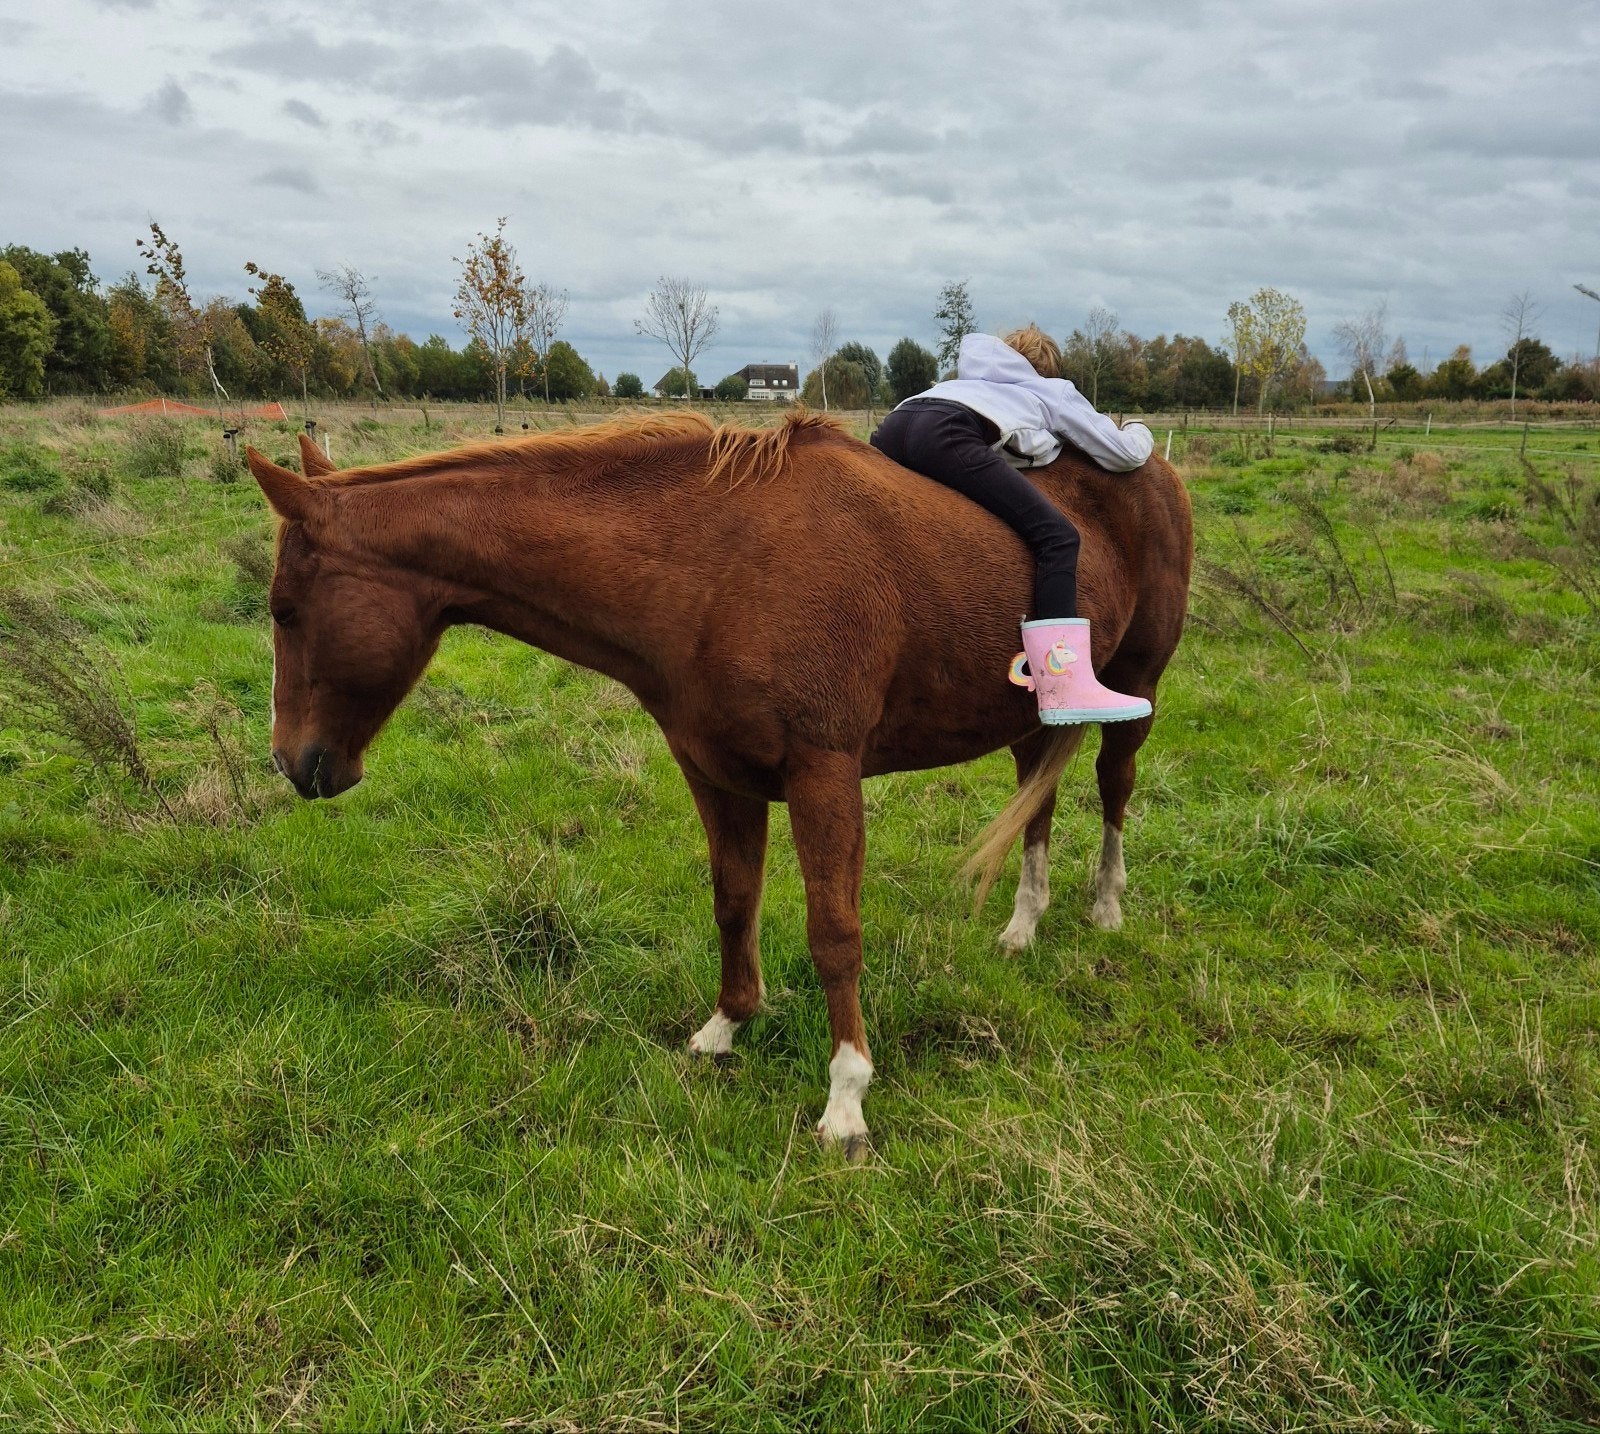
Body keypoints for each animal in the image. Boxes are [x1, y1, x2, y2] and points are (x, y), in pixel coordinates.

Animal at [248, 413, 1192, 1158]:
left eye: (283, 609)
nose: (294, 762)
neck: (712, 563)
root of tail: (1152, 468)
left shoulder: (823, 771)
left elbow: (833, 933)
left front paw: (846, 1099)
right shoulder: (713, 772)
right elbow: (734, 901)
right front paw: (726, 1026)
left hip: (1137, 683)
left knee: (1114, 787)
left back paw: (1105, 905)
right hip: (1031, 715)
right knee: (1040, 797)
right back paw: (1023, 924)